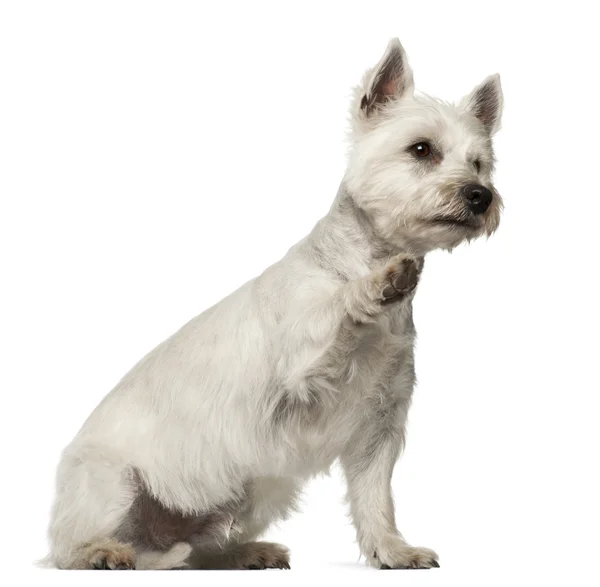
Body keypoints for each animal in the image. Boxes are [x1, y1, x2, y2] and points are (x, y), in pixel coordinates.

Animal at [47, 36, 504, 568]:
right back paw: (102, 552)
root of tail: (154, 542)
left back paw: (249, 551)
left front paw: (393, 551)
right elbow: (335, 311)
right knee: (70, 546)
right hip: (110, 484)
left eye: (480, 164)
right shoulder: (301, 363)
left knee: (204, 547)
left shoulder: (380, 425)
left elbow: (375, 497)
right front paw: (381, 283)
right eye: (422, 149)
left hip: (258, 489)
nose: (480, 195)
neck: (358, 258)